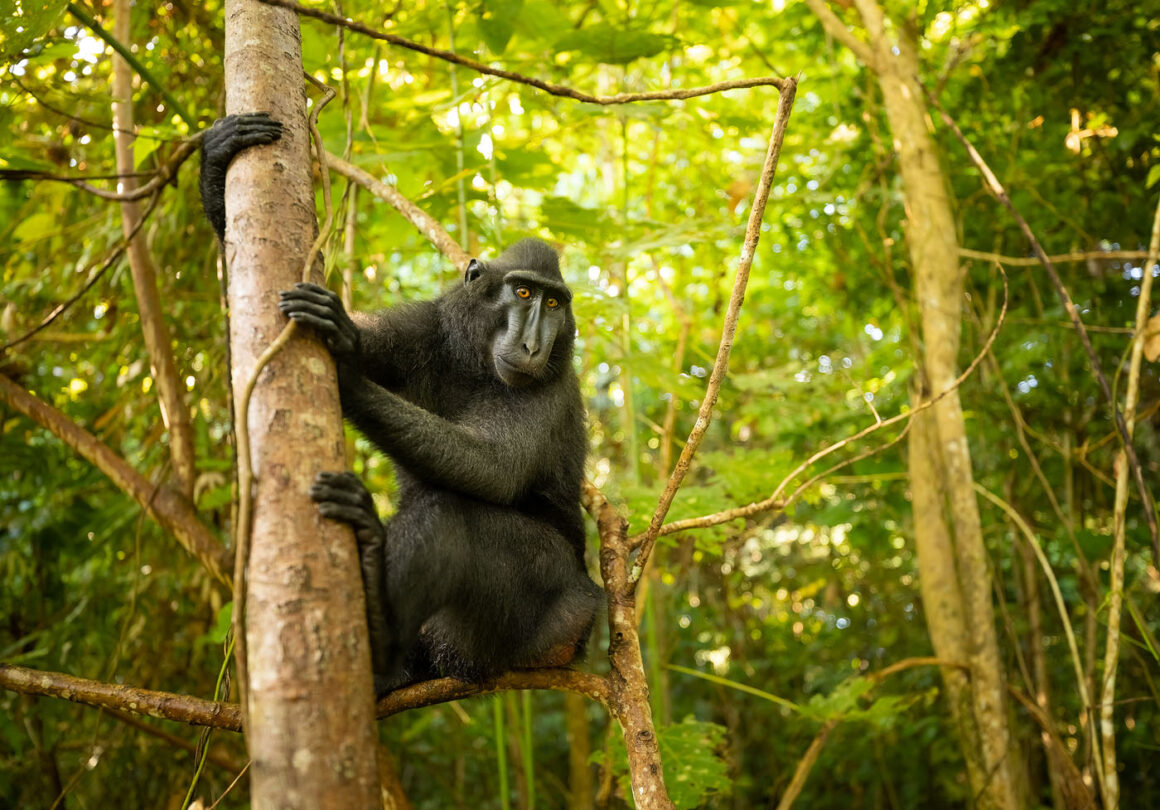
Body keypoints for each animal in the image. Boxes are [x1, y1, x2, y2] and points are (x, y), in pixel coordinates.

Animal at [200, 113, 598, 696]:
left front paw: (345, 372)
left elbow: (495, 468)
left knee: (451, 514)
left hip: (541, 617)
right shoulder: (424, 329)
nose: (532, 346)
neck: (477, 365)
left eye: (554, 304)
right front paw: (214, 162)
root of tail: (583, 624)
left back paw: (378, 610)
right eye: (524, 294)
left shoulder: (549, 389)